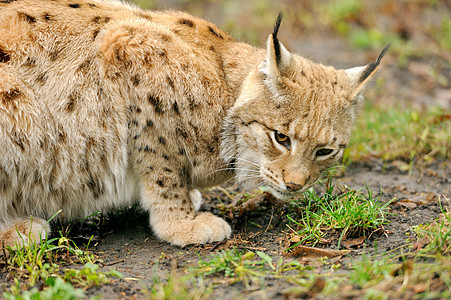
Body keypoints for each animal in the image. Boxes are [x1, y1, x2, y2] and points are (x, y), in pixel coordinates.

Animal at [0, 0, 388, 247]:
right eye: (281, 137)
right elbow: (161, 163)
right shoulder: (126, 42)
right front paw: (180, 223)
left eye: (325, 151)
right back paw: (17, 230)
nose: (294, 185)